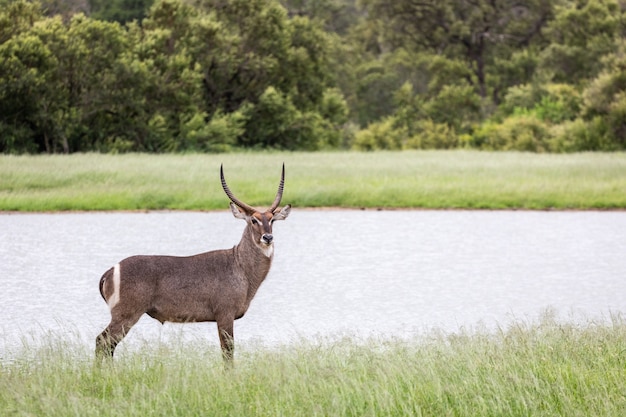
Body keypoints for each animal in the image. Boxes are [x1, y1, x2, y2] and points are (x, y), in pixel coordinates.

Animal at [95, 162, 290, 360]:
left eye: (272, 220)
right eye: (253, 220)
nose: (268, 237)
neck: (240, 266)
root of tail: (109, 271)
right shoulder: (225, 315)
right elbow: (228, 352)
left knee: (109, 345)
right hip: (126, 314)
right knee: (102, 341)